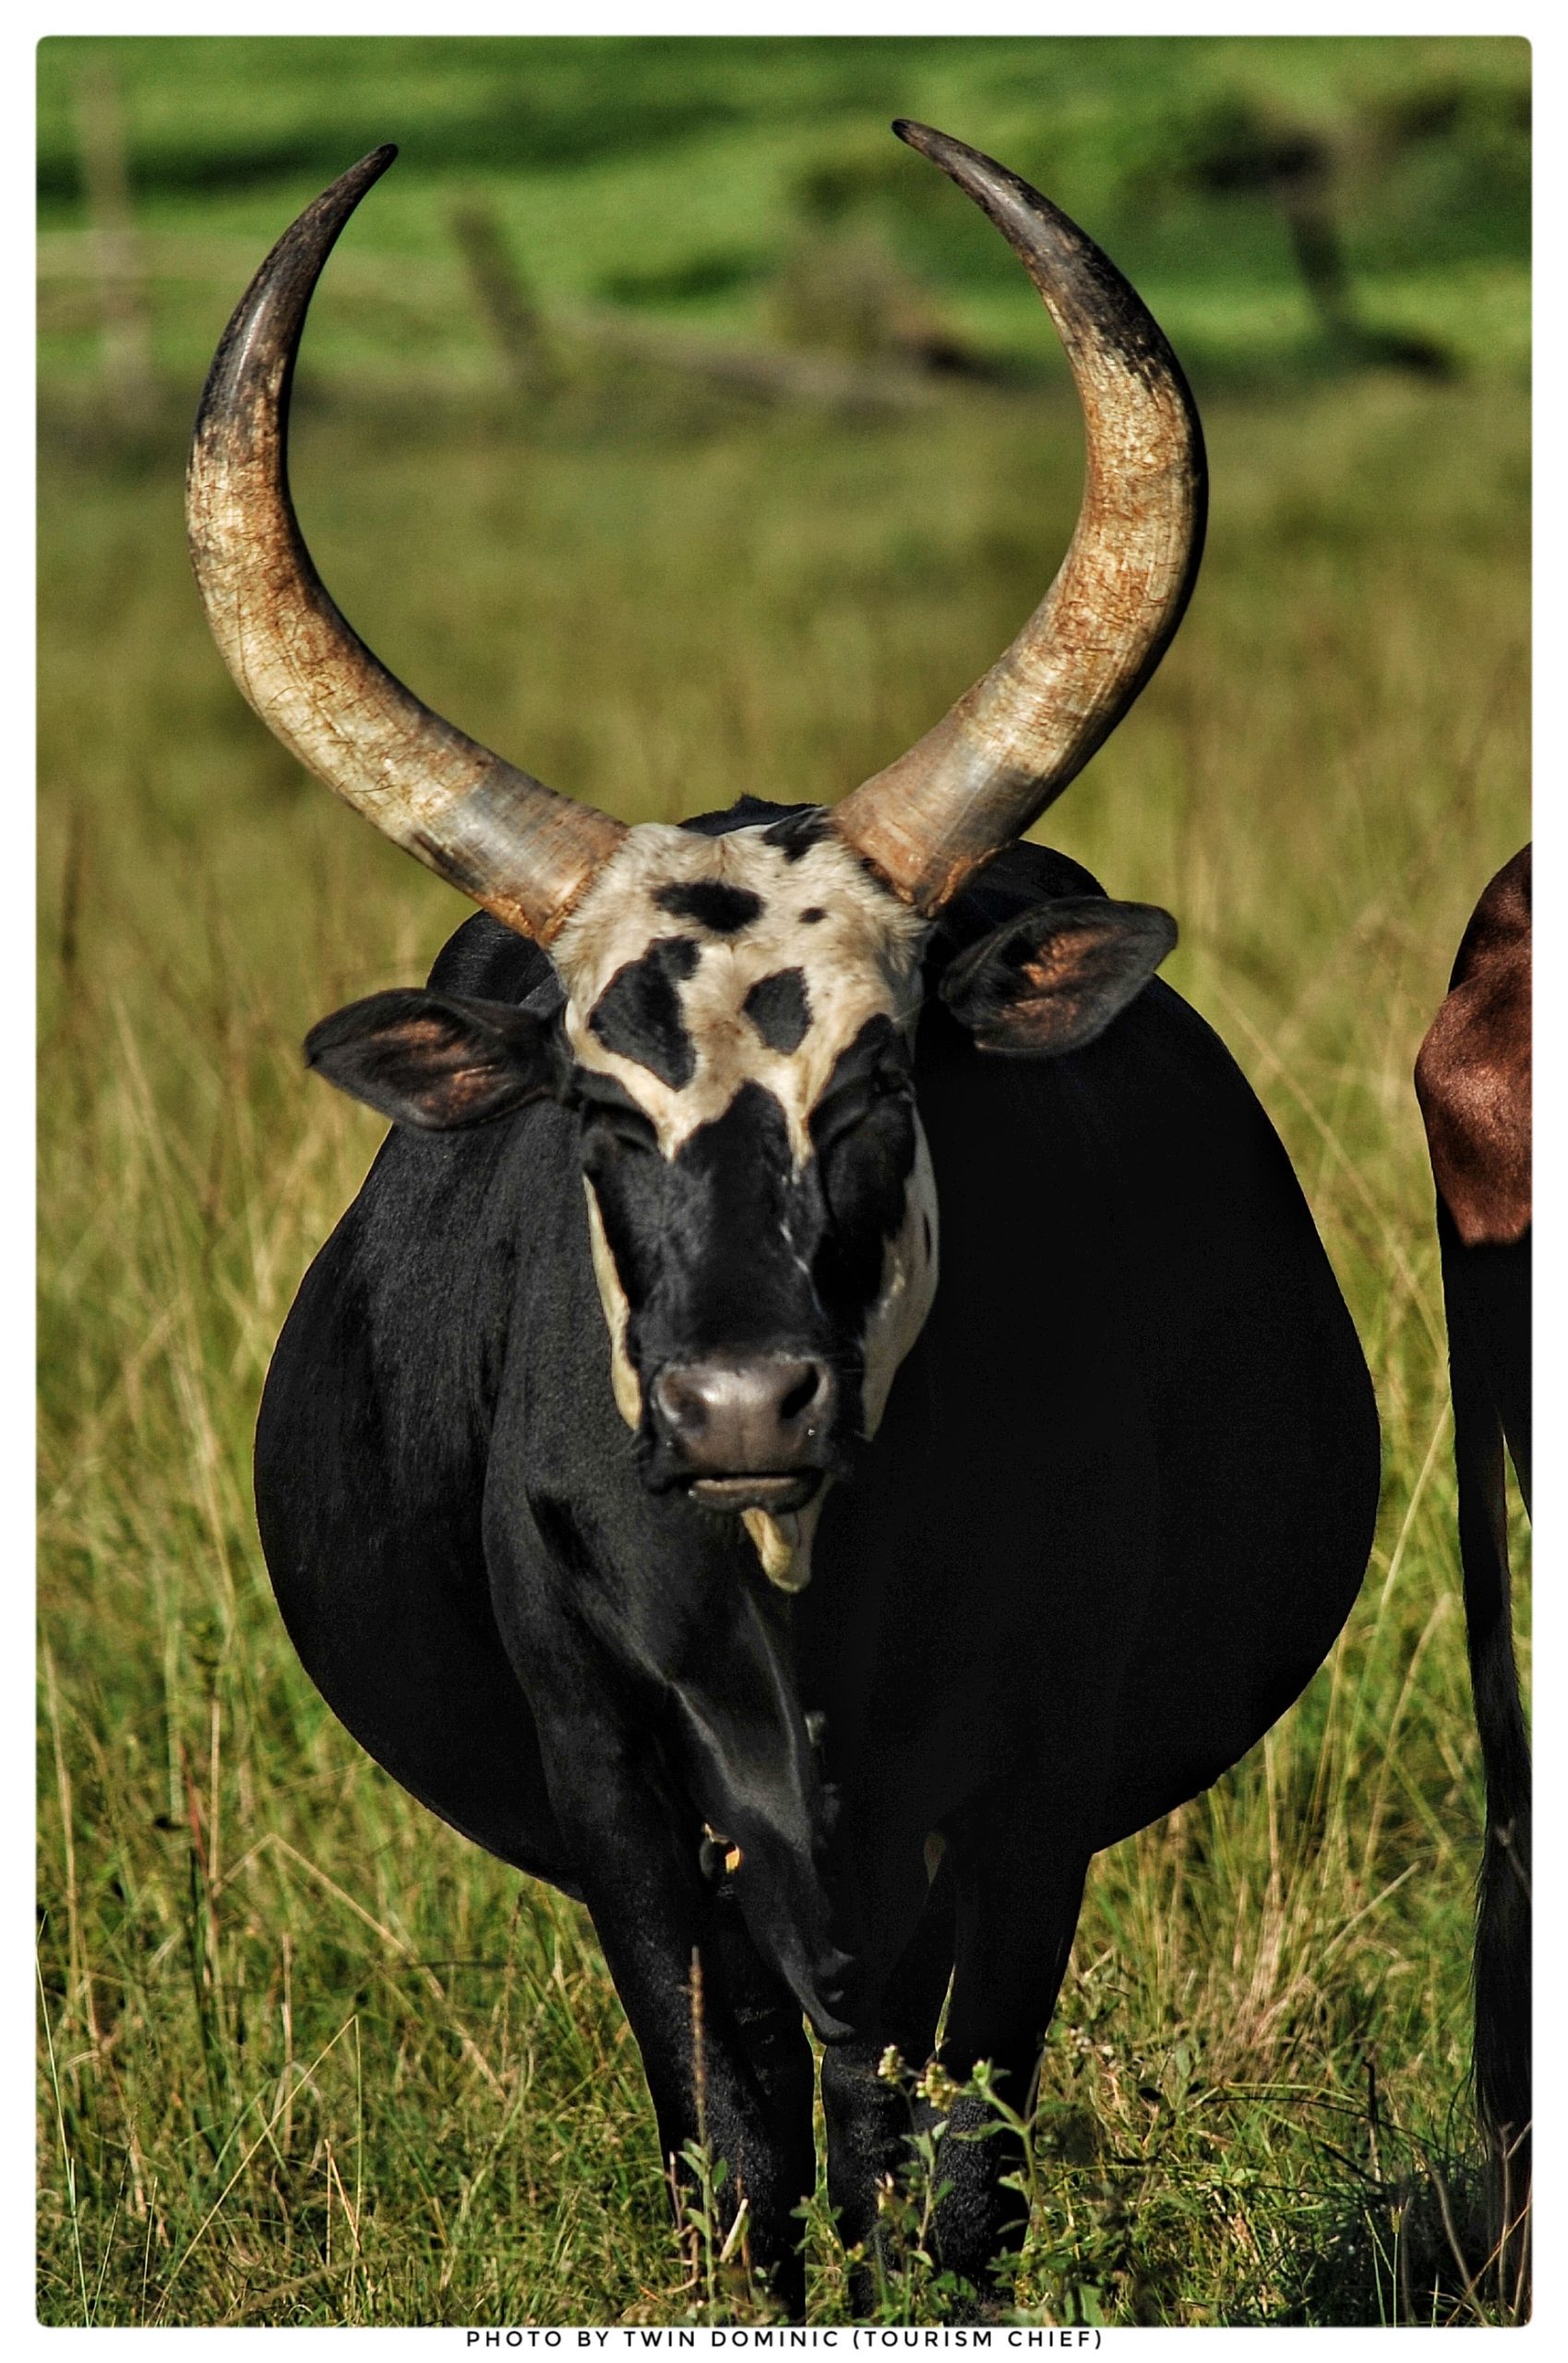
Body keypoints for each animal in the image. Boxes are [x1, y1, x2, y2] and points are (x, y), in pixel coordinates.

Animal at [187, 123, 1381, 2316]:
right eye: (593, 1102)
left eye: (884, 1079)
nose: (741, 1405)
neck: (795, 1602)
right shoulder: (628, 1816)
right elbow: (731, 2174)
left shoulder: (1018, 1813)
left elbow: (959, 2193)